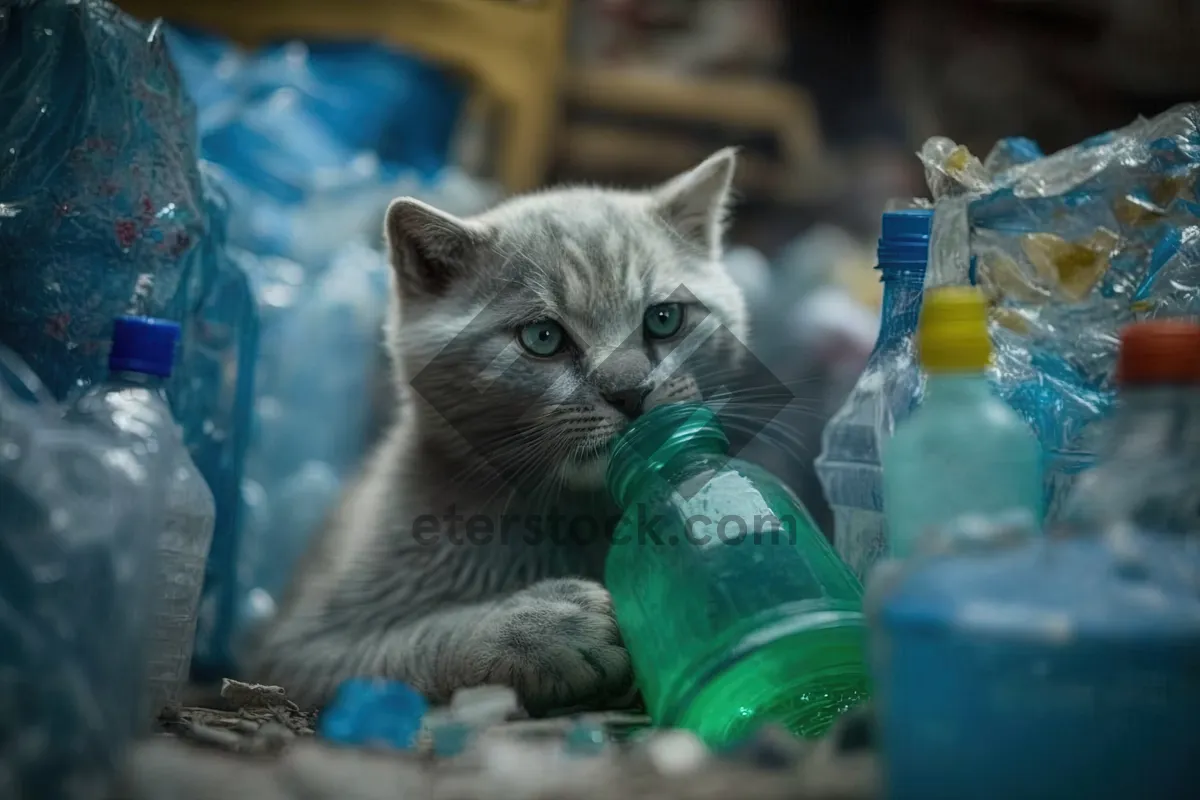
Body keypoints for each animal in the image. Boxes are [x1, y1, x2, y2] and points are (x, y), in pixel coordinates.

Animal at [248, 148, 744, 714]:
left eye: (664, 318)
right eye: (543, 336)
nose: (629, 391)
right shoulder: (292, 656)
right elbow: (406, 646)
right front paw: (542, 626)